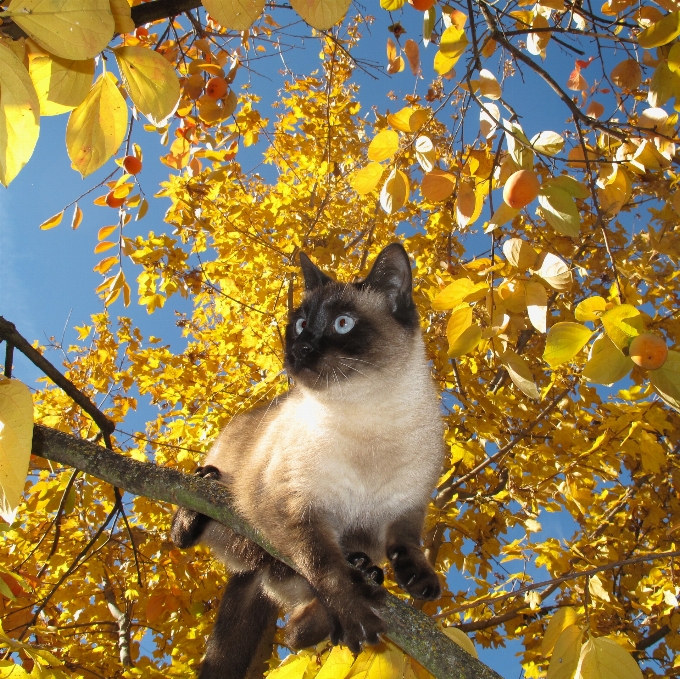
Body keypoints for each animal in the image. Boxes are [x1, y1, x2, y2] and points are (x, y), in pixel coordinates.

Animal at [173, 244, 444, 679]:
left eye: (343, 324)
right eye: (300, 325)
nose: (299, 350)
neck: (372, 421)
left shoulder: (408, 504)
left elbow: (407, 541)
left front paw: (418, 581)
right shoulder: (296, 509)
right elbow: (326, 569)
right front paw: (358, 616)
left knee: (297, 629)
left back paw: (365, 575)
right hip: (239, 514)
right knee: (192, 538)